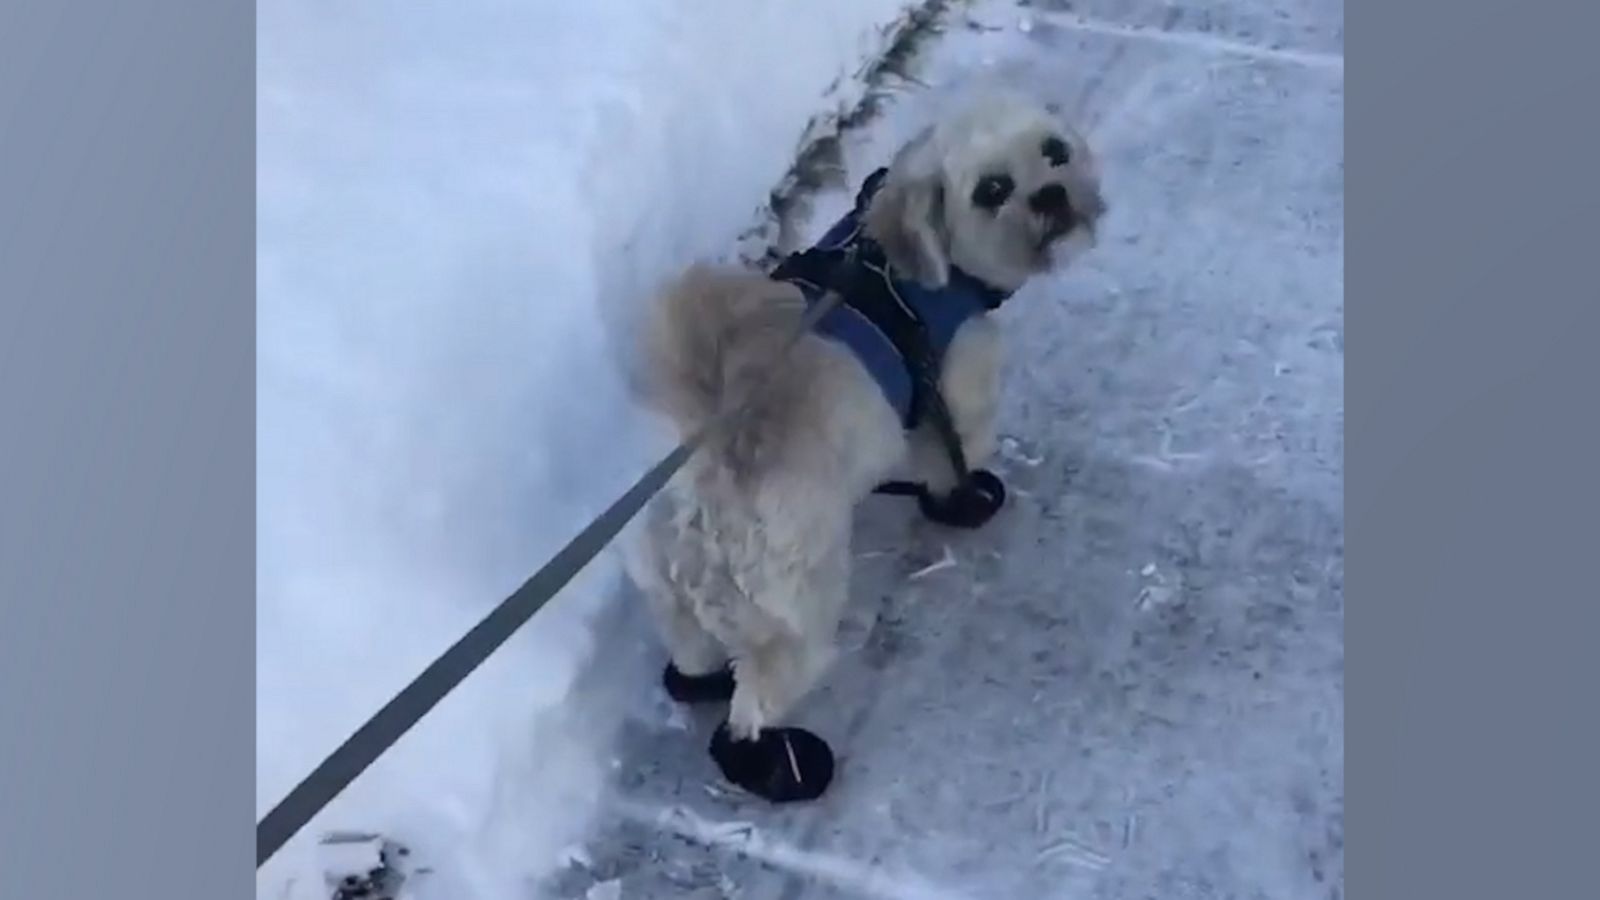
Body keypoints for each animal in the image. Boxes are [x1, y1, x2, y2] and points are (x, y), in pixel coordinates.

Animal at [620, 92, 1100, 797]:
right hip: (796, 613)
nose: (1053, 194)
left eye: (1054, 150)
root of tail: (705, 464)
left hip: (672, 594)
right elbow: (955, 461)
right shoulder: (956, 395)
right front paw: (967, 500)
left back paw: (698, 683)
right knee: (752, 707)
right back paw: (781, 764)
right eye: (992, 190)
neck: (917, 266)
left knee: (692, 652)